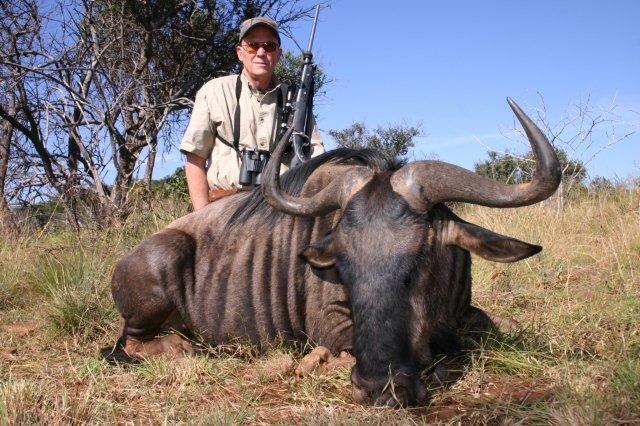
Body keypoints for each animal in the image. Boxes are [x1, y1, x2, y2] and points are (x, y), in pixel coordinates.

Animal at [105, 98, 560, 407]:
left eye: (418, 263)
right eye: (345, 269)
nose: (380, 389)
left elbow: (498, 327)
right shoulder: (331, 327)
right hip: (161, 270)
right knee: (132, 343)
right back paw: (184, 349)